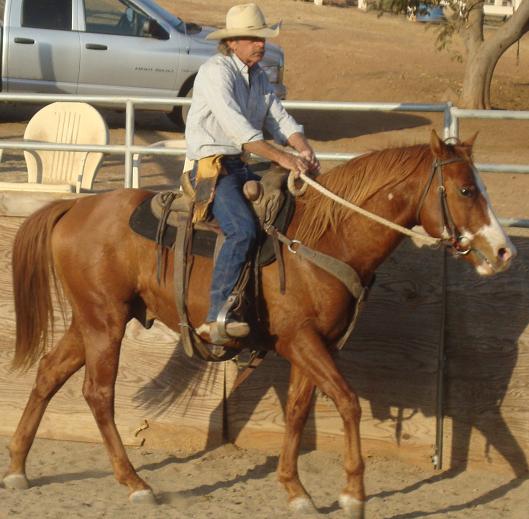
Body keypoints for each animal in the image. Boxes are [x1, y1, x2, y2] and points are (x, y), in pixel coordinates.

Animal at [2, 132, 512, 516]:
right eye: (466, 190)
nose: (504, 251)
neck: (325, 237)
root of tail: (75, 208)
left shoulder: (315, 345)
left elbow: (298, 412)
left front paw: (296, 490)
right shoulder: (302, 340)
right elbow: (347, 403)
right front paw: (353, 494)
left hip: (93, 319)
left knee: (48, 373)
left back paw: (18, 468)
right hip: (105, 322)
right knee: (98, 393)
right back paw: (135, 483)